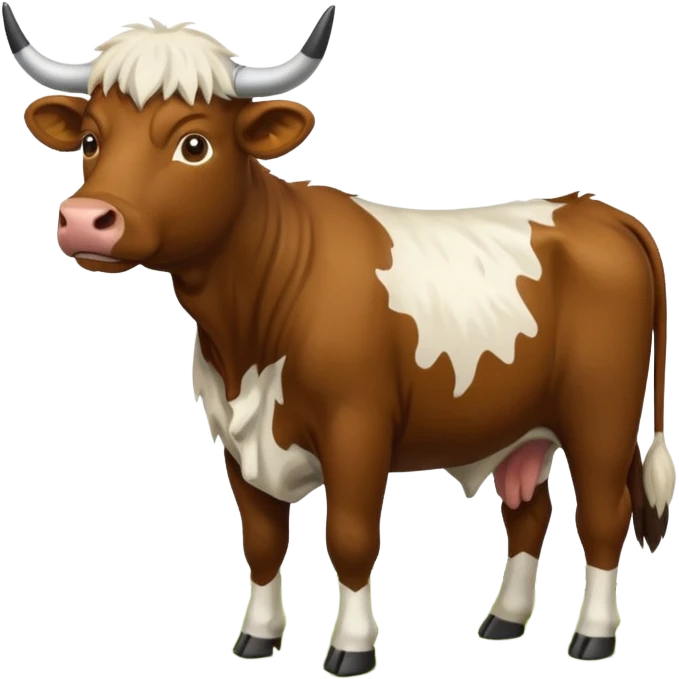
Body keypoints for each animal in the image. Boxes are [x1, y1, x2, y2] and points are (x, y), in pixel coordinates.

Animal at [3, 2, 675, 674]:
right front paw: (259, 636)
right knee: (530, 512)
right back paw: (505, 620)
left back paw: (593, 635)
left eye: (194, 144)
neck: (247, 336)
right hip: (522, 428)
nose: (85, 220)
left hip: (601, 414)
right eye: (92, 139)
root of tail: (599, 211)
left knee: (603, 515)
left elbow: (349, 537)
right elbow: (264, 541)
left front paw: (350, 646)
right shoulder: (234, 439)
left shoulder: (357, 426)